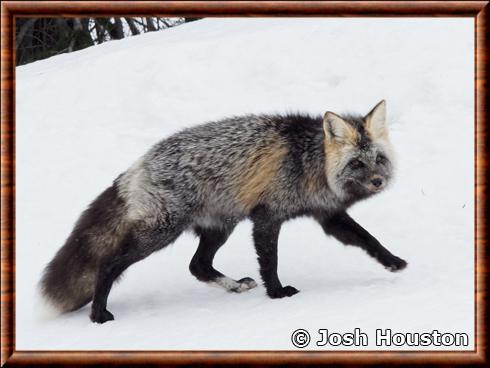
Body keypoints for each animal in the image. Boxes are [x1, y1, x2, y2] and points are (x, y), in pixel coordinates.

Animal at [38, 100, 408, 322]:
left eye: (379, 159)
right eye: (356, 163)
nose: (378, 181)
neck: (309, 165)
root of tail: (139, 163)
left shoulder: (327, 215)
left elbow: (368, 239)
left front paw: (393, 262)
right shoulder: (267, 217)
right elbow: (270, 262)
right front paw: (277, 294)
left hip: (220, 227)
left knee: (198, 266)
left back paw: (234, 286)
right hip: (161, 233)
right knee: (110, 264)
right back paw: (98, 314)